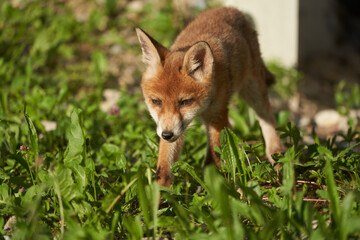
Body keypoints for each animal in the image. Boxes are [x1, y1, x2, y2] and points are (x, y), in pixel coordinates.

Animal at [136, 7, 282, 188]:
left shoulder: (217, 117)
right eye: (156, 102)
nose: (167, 135)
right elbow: (164, 166)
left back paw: (276, 157)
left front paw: (212, 189)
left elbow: (212, 162)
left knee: (267, 118)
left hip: (252, 89)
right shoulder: (168, 126)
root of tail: (232, 9)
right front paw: (160, 193)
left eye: (184, 102)